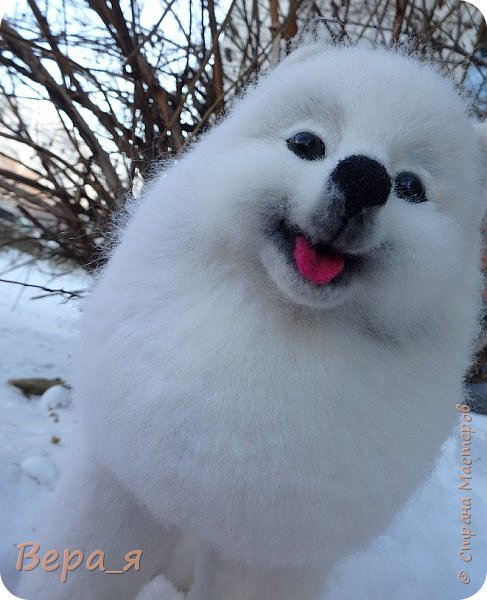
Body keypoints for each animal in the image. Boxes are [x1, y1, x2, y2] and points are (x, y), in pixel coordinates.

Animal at [17, 43, 486, 600]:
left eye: (410, 187)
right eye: (305, 144)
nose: (364, 177)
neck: (279, 318)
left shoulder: (265, 557)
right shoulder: (122, 483)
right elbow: (79, 569)